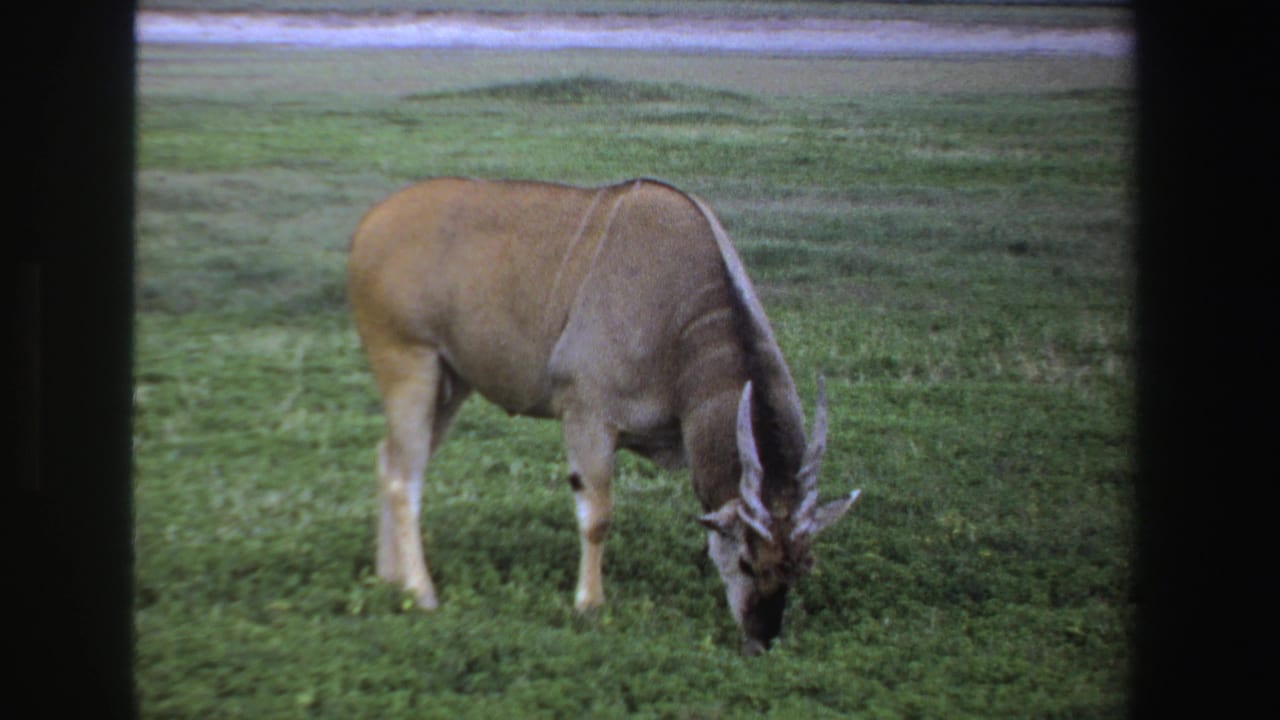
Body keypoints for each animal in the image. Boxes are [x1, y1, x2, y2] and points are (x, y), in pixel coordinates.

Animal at [347, 177, 861, 654]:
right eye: (747, 562)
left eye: (803, 566)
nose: (762, 639)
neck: (681, 313)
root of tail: (369, 227)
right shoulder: (587, 415)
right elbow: (597, 517)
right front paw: (589, 606)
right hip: (408, 361)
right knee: (405, 478)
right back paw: (422, 592)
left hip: (451, 383)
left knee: (387, 458)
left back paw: (389, 577)